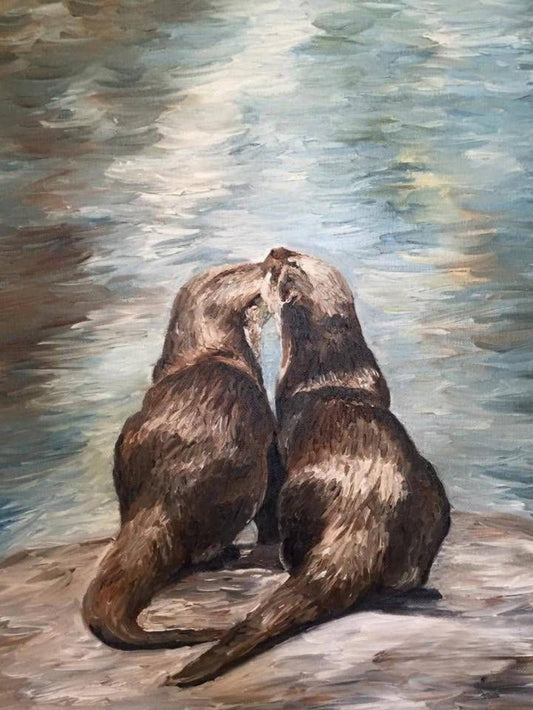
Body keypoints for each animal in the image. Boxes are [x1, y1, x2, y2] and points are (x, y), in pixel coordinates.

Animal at [82, 262, 282, 650]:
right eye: (244, 268)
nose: (271, 259)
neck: (212, 348)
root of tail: (163, 496)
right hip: (246, 485)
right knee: (202, 550)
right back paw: (230, 555)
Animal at [168, 247, 450, 685]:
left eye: (289, 266)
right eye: (296, 254)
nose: (275, 251)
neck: (330, 368)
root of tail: (365, 513)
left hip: (298, 494)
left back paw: (288, 560)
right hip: (433, 503)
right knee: (405, 575)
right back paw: (417, 588)